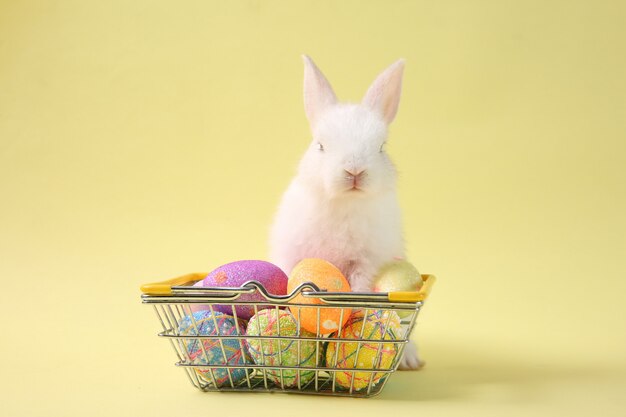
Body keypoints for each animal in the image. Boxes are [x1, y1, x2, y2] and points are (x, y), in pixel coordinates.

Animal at [270, 54, 422, 368]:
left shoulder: (366, 262)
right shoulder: (292, 254)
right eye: (320, 146)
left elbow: (360, 290)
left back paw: (410, 359)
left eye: (381, 147)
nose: (354, 171)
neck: (344, 203)